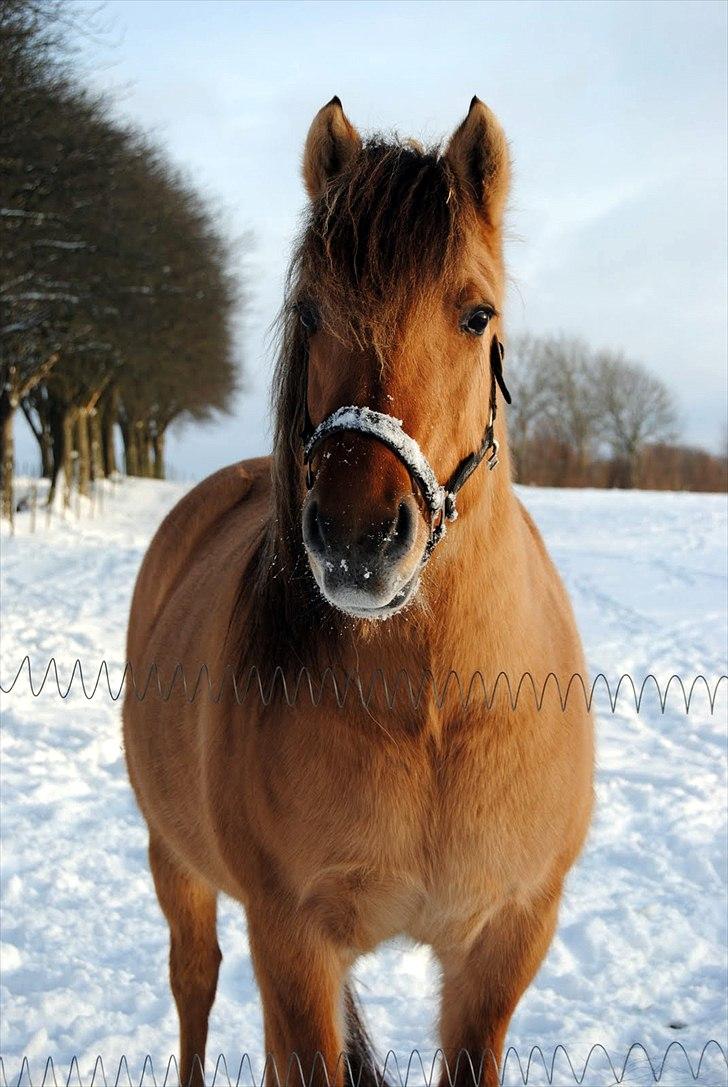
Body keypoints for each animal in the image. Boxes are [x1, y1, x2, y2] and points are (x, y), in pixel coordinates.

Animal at [122, 95, 595, 1087]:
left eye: (477, 314)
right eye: (309, 310)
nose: (355, 539)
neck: (435, 710)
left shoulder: (506, 941)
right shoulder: (292, 939)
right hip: (176, 860)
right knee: (194, 982)